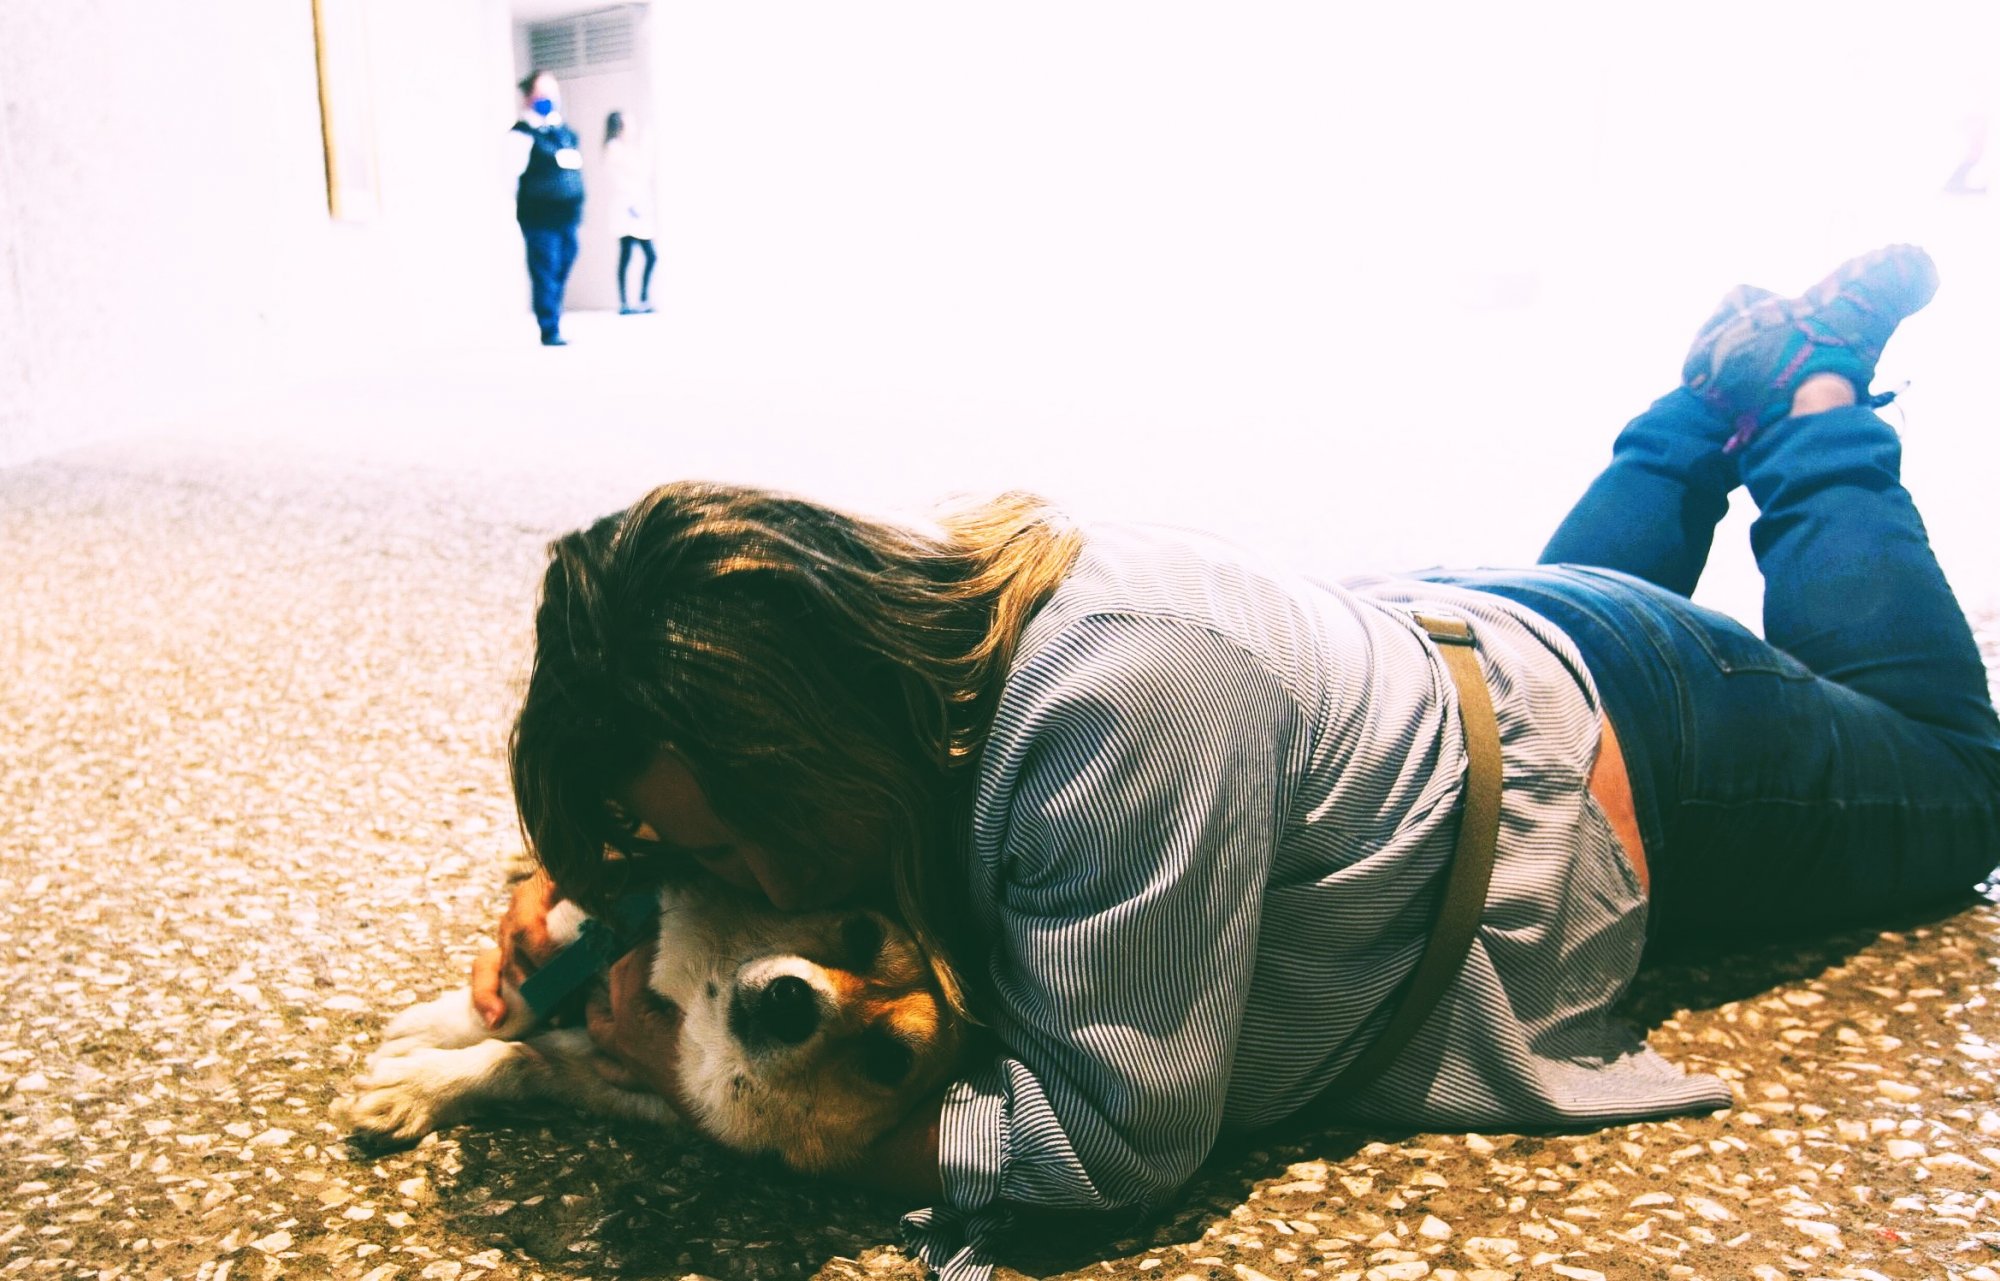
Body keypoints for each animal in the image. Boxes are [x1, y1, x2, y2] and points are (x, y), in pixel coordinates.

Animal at [334, 877, 964, 1173]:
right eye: (862, 931)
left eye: (889, 1061)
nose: (791, 1002)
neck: (697, 1015)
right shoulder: (602, 929)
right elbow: (522, 999)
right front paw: (441, 1028)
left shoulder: (629, 1087)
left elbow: (514, 1061)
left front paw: (414, 1087)